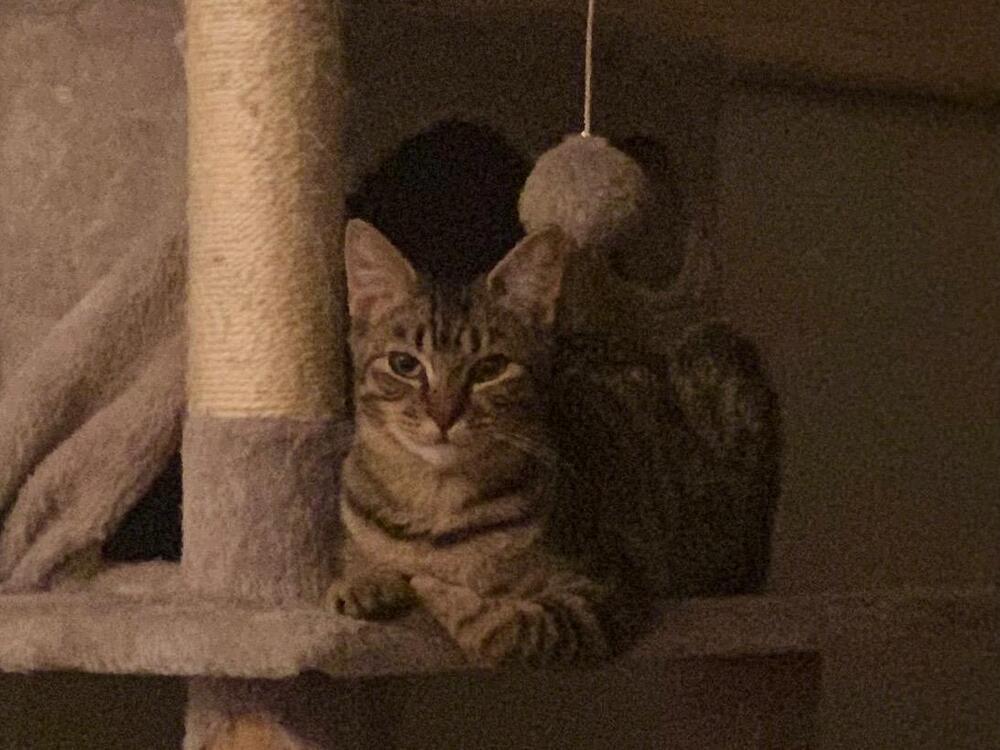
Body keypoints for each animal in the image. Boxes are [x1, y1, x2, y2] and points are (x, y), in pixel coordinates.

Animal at [325, 218, 623, 667]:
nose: (444, 415)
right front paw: (366, 582)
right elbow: (363, 559)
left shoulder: (596, 590)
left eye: (491, 368)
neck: (436, 501)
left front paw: (431, 586)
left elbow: (506, 630)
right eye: (404, 364)